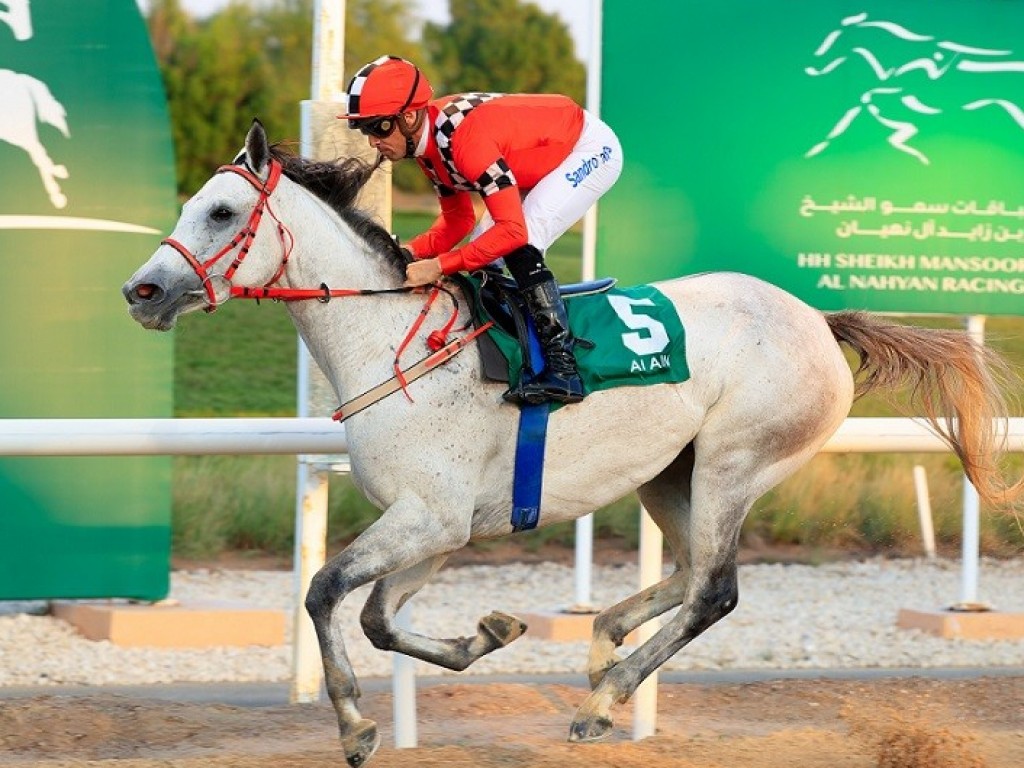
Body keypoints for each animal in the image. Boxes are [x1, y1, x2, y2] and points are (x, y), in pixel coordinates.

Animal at [121, 120, 1024, 765]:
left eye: (222, 212)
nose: (142, 291)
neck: (390, 340)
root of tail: (816, 318)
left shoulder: (430, 517)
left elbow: (322, 590)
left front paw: (353, 724)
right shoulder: (440, 527)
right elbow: (378, 618)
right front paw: (488, 635)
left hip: (736, 459)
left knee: (715, 591)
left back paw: (602, 698)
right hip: (671, 473)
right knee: (689, 574)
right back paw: (600, 649)